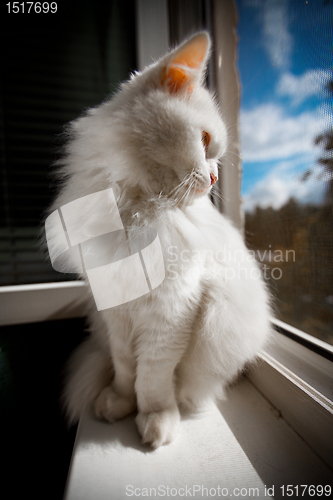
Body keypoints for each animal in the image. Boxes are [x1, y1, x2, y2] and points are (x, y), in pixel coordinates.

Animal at [47, 33, 270, 448]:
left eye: (216, 153)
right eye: (204, 140)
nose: (215, 179)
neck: (138, 208)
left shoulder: (172, 309)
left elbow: (152, 376)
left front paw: (154, 420)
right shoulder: (117, 313)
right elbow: (124, 368)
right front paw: (118, 404)